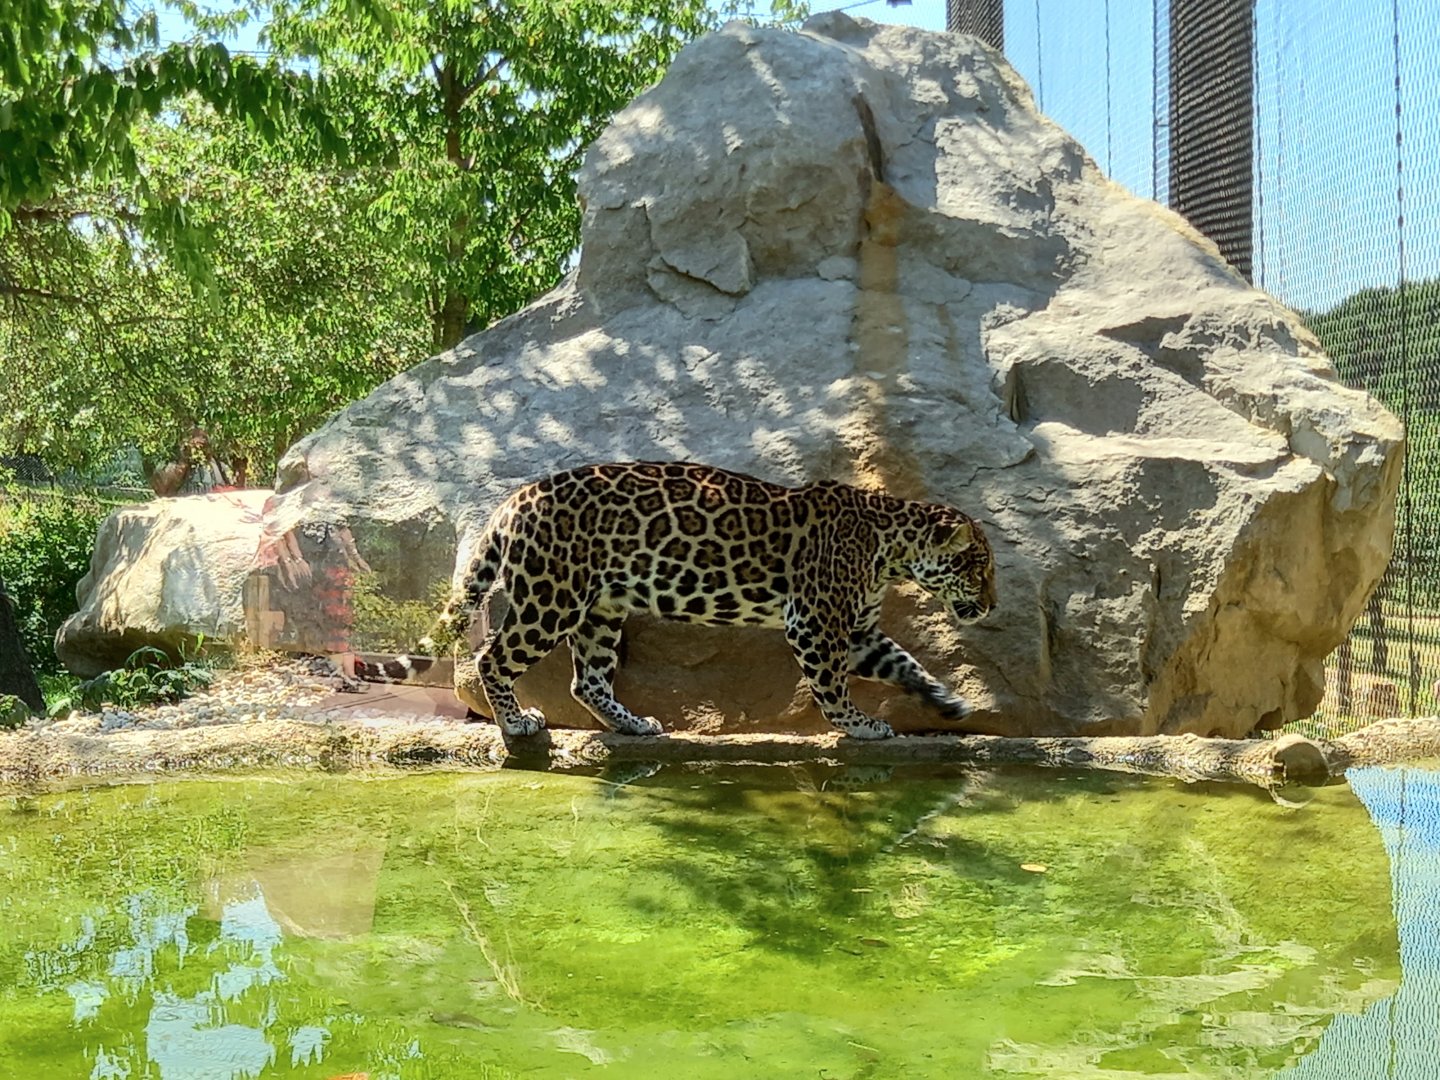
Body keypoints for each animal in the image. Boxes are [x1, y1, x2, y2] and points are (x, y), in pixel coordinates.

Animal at [415, 461, 996, 741]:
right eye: (979, 568)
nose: (991, 604)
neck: (890, 547)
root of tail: (515, 499)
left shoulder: (855, 631)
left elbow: (905, 662)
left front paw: (948, 702)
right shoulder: (816, 623)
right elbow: (832, 686)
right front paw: (860, 725)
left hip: (600, 609)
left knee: (589, 680)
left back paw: (634, 724)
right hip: (551, 599)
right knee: (492, 657)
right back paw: (516, 723)